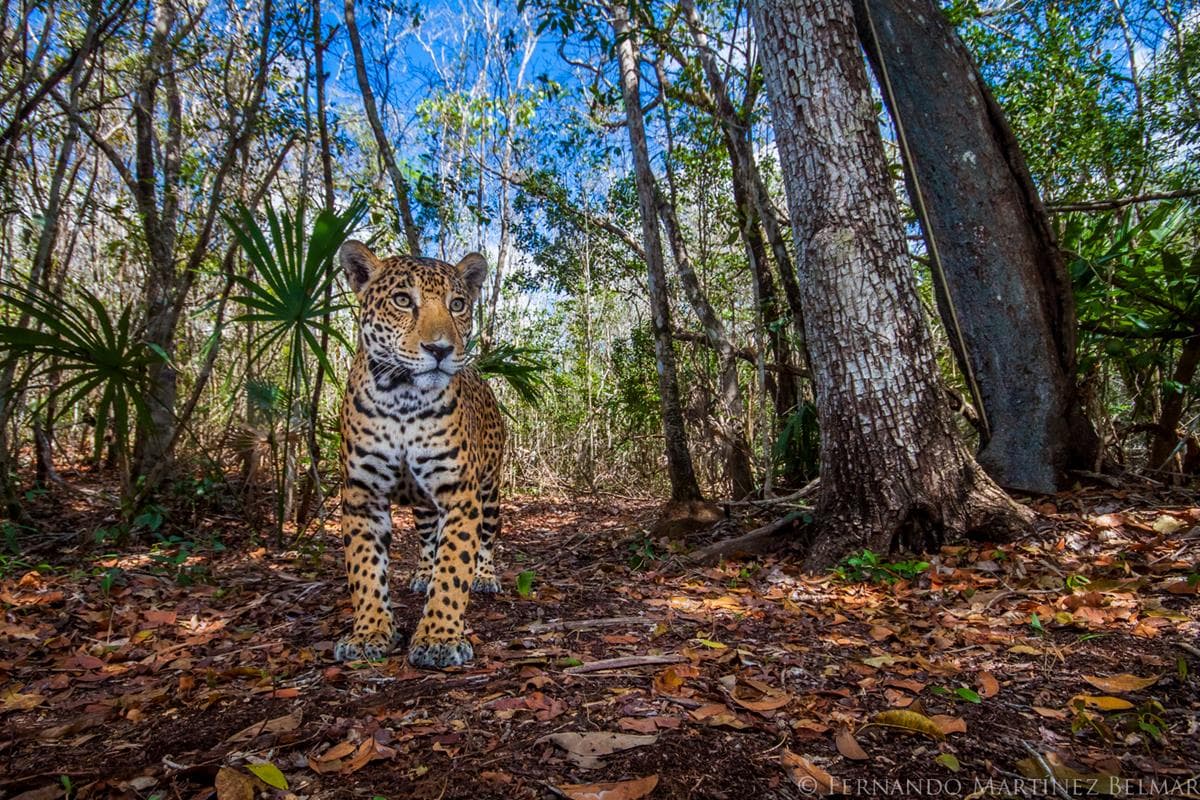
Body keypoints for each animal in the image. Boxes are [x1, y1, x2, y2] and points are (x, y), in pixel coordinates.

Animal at [332, 240, 505, 669]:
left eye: (457, 304)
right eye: (401, 300)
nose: (440, 349)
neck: (403, 400)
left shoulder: (461, 495)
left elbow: (455, 567)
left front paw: (439, 637)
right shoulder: (361, 496)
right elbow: (364, 569)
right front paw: (368, 632)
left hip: (490, 491)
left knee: (486, 539)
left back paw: (485, 576)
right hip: (424, 507)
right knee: (429, 539)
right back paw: (424, 572)